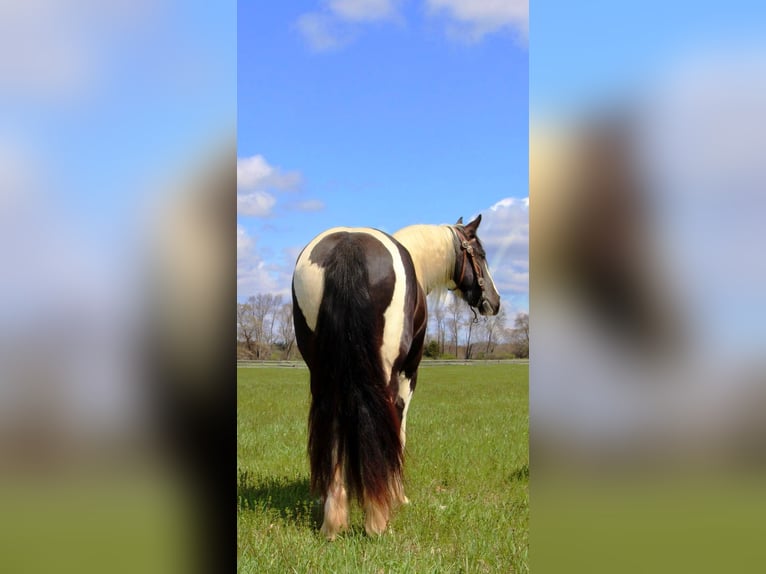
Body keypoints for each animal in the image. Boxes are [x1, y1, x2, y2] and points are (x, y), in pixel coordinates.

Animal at [292, 215, 500, 540]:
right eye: (480, 254)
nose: (495, 301)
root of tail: (348, 247)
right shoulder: (408, 374)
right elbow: (399, 427)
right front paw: (398, 494)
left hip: (323, 374)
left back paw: (334, 520)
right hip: (385, 373)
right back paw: (377, 519)